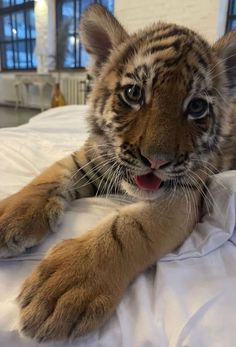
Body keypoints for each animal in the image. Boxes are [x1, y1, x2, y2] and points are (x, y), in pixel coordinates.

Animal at [0, 2, 236, 344]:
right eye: (134, 93)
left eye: (196, 107)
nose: (156, 161)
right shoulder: (89, 158)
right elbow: (47, 177)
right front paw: (11, 218)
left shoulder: (183, 195)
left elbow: (130, 230)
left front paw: (66, 286)